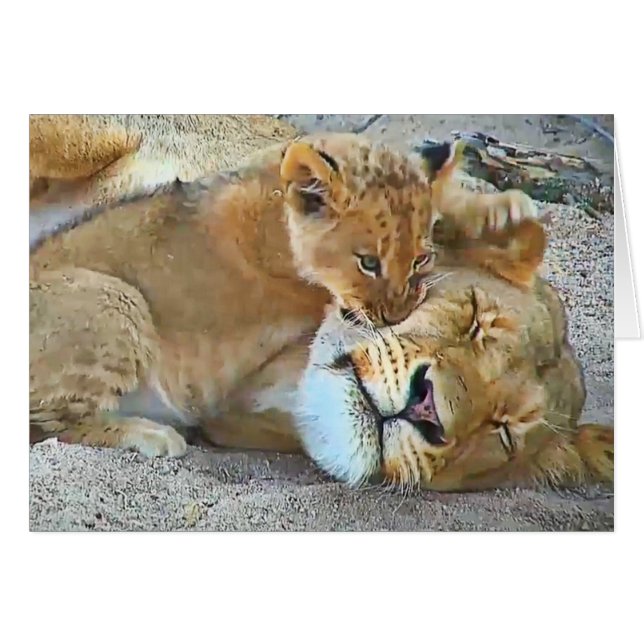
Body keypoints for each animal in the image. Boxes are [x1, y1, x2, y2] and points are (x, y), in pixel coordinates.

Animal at [30, 131, 537, 461]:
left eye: (419, 261)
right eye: (367, 262)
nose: (395, 315)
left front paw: (502, 215)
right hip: (116, 300)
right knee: (52, 424)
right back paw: (152, 436)